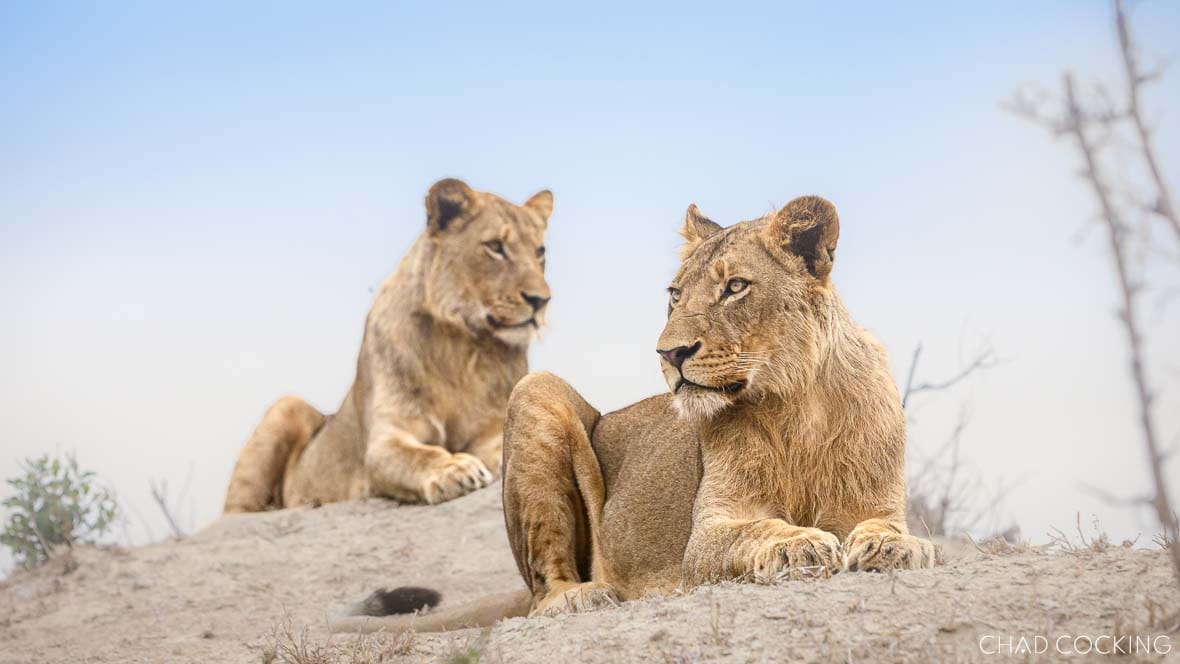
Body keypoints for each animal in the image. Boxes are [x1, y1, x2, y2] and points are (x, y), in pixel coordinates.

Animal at [222, 178, 553, 512]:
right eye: (496, 246)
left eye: (540, 252)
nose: (541, 300)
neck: (461, 347)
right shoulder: (386, 438)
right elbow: (418, 455)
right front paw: (455, 470)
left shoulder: (494, 423)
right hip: (285, 407)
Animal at [330, 194, 936, 633]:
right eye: (674, 294)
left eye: (735, 287)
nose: (670, 353)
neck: (796, 404)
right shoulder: (705, 538)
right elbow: (755, 531)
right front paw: (798, 541)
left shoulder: (876, 500)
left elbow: (892, 529)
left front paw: (895, 545)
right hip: (536, 391)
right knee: (542, 591)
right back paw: (585, 596)